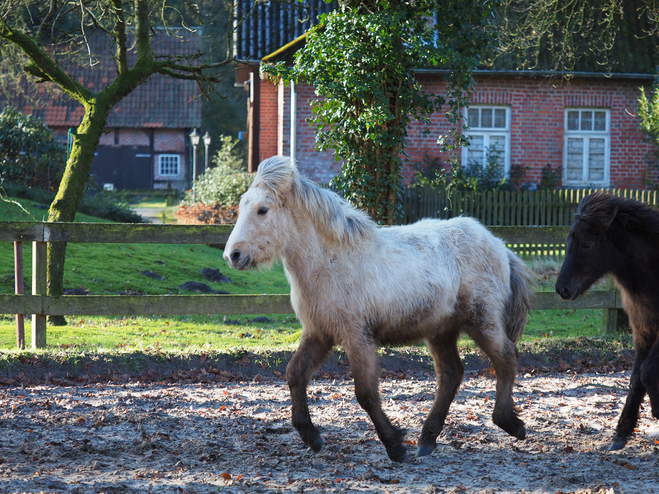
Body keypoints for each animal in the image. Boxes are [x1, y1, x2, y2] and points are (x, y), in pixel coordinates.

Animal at [224, 156, 532, 462]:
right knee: (451, 374)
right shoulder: (319, 332)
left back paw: (510, 423)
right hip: (441, 331)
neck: (330, 262)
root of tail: (500, 246)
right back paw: (427, 438)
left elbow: (366, 393)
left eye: (262, 210)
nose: (232, 255)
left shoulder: (357, 337)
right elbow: (294, 374)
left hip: (483, 321)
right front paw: (312, 437)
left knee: (506, 358)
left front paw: (394, 445)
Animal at [556, 194, 659, 452]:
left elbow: (647, 370)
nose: (562, 289)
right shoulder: (642, 332)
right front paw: (621, 433)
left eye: (586, 244)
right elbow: (636, 379)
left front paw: (657, 410)